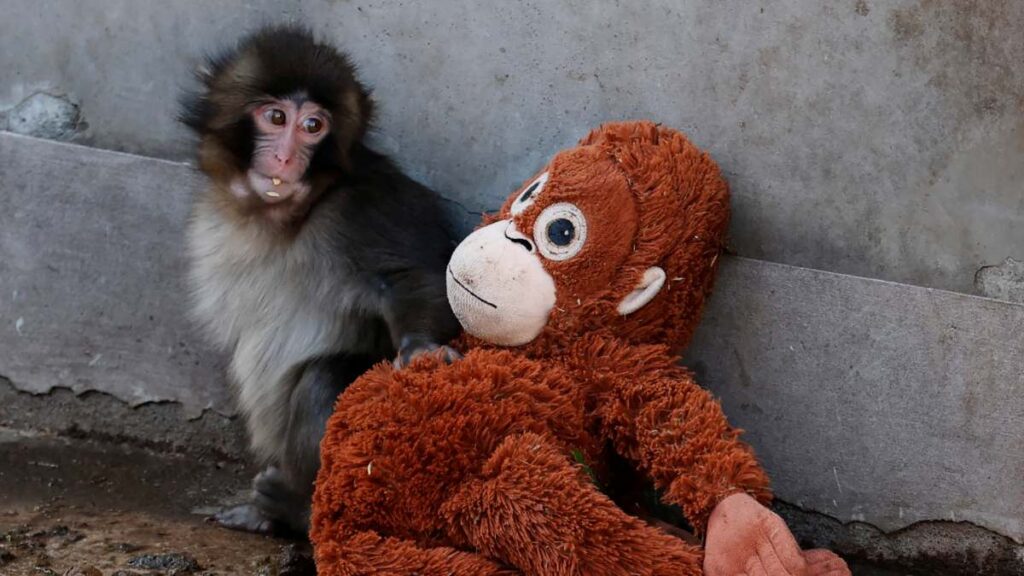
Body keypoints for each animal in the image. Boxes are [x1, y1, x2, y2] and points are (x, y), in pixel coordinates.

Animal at [179, 25, 461, 536]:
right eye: (276, 117)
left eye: (314, 126)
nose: (286, 156)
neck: (286, 216)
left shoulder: (365, 207)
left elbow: (416, 277)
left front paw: (421, 348)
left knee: (322, 380)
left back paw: (294, 508)